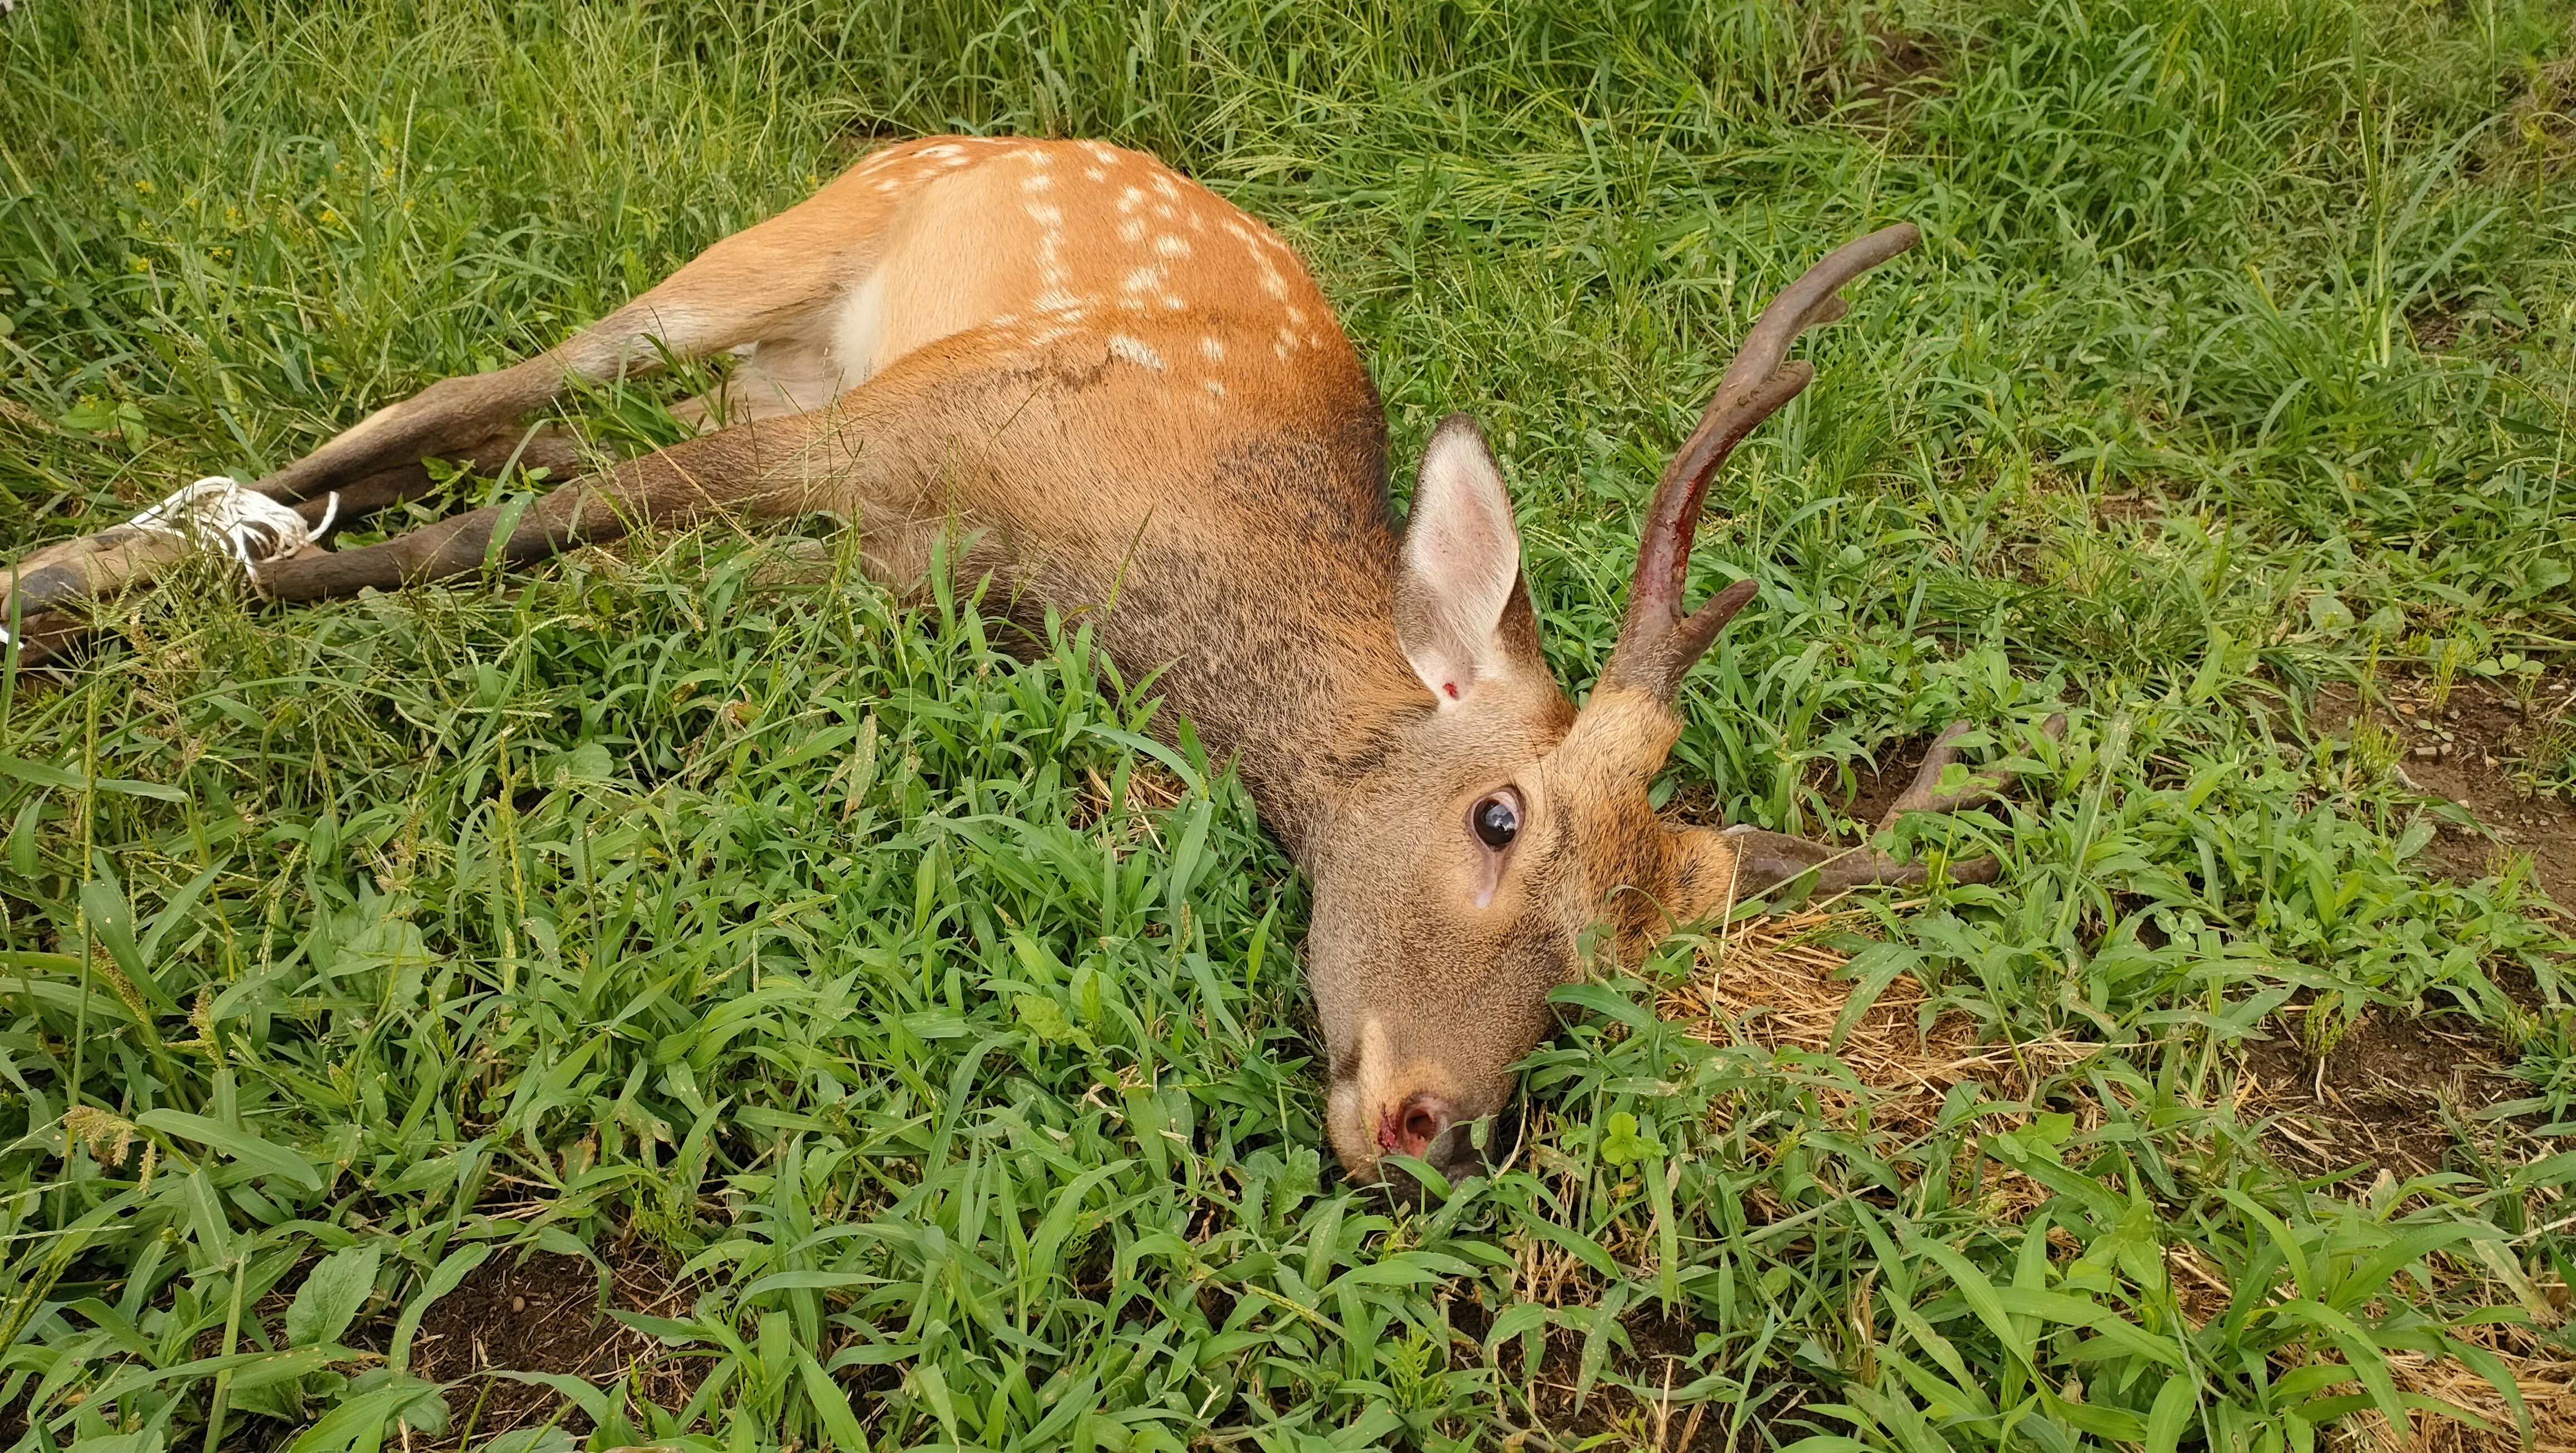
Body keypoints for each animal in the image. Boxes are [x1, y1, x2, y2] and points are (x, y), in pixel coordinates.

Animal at [0, 136, 2059, 1186]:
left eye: (1613, 978)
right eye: (1495, 817)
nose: (1424, 1125)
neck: (1113, 550)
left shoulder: (883, 558)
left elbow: (554, 550)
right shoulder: (904, 429)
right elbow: (471, 544)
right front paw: (152, 615)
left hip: (782, 371)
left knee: (526, 433)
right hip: (790, 262)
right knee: (484, 393)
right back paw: (81, 564)